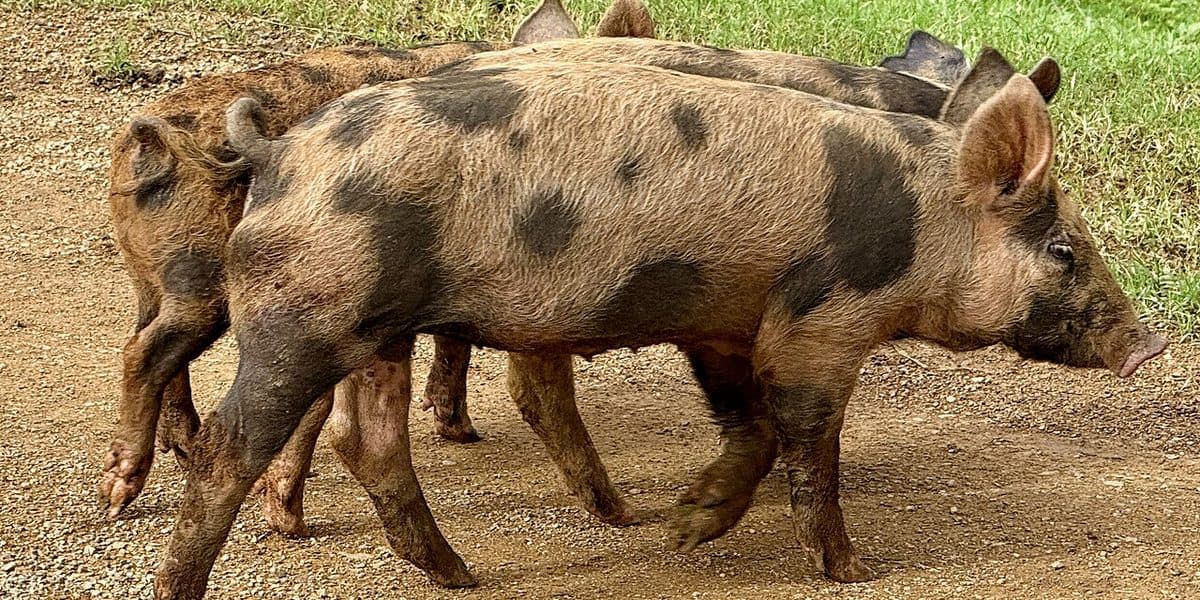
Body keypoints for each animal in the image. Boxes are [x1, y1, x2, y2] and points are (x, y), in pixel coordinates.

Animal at [151, 48, 1165, 597]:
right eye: (1063, 250)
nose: (1149, 342)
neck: (923, 227)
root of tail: (277, 152)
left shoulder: (728, 323)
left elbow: (751, 428)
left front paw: (678, 527)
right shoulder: (822, 321)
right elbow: (809, 442)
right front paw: (850, 569)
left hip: (375, 325)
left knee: (370, 441)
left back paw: (462, 575)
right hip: (305, 312)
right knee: (231, 448)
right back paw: (183, 584)